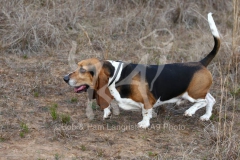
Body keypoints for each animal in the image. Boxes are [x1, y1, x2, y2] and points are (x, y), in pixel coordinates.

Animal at [63, 12, 219, 128]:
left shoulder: (148, 100)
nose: (65, 78)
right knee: (211, 99)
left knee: (203, 101)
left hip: (192, 94)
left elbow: (146, 111)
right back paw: (206, 116)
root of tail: (200, 63)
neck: (117, 76)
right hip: (197, 92)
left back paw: (190, 111)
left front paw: (144, 123)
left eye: (82, 70)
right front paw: (107, 112)